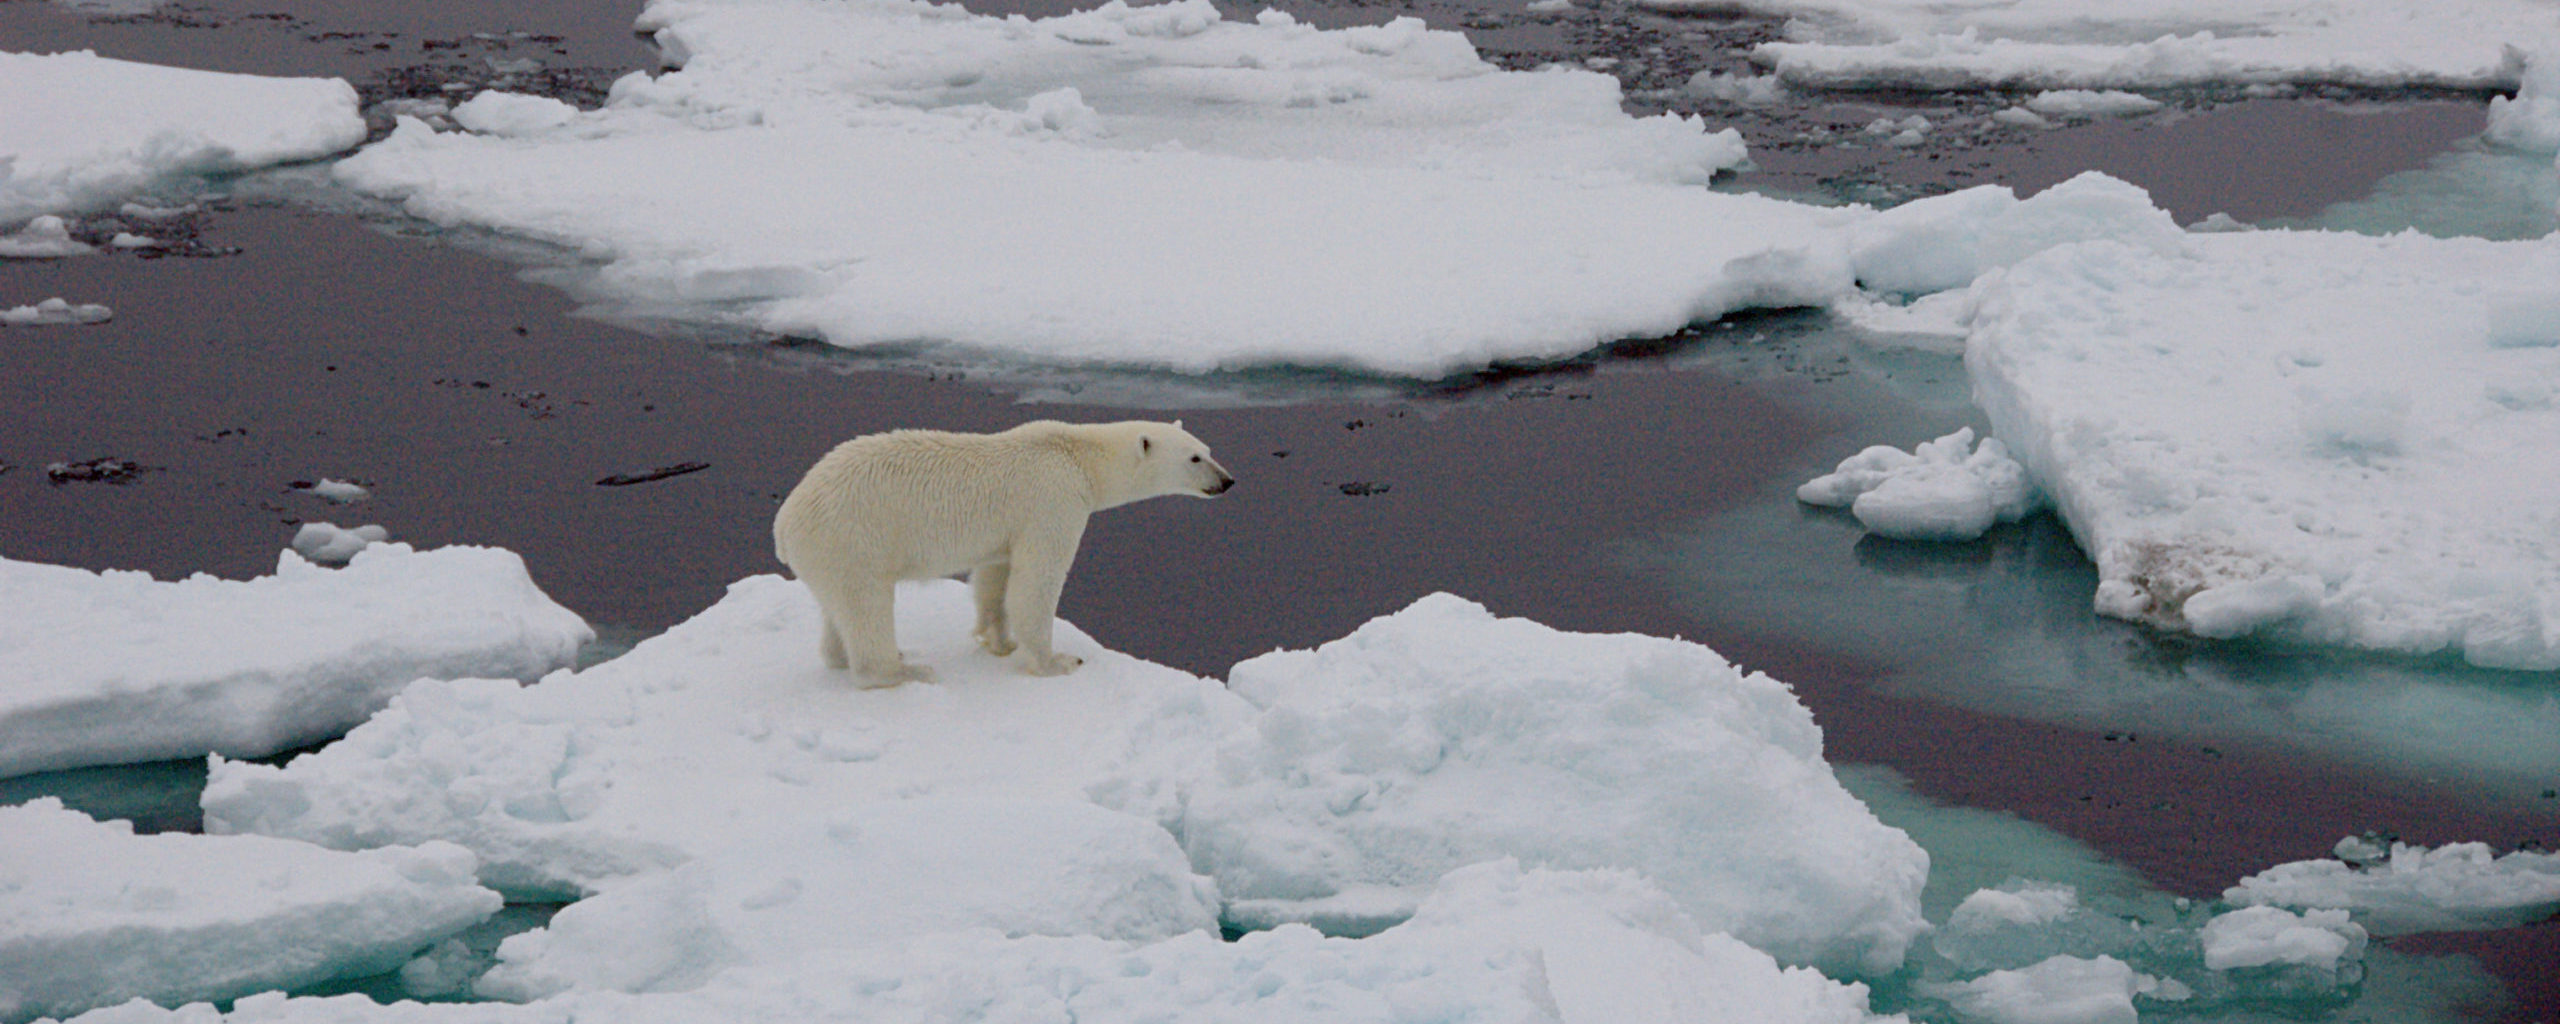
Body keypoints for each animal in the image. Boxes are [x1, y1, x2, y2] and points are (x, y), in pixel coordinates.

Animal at [773, 419, 1233, 683]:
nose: (1227, 481)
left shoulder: (1007, 529)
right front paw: (1057, 662)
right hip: (853, 538)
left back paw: (849, 656)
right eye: (1195, 458)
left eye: (1209, 449)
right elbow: (1037, 582)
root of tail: (784, 523)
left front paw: (999, 642)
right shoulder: (1054, 500)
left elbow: (996, 576)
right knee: (867, 605)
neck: (1078, 454)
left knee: (837, 609)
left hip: (831, 553)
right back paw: (904, 669)